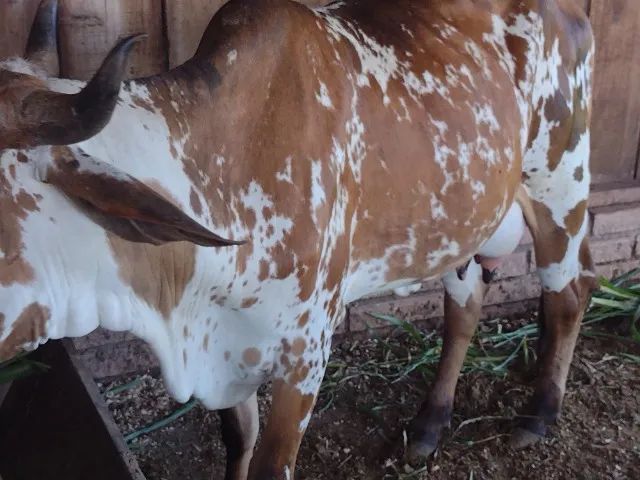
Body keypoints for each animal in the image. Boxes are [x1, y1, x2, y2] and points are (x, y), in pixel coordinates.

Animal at [0, 0, 596, 478]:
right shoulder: (227, 350)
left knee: (569, 294)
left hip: (560, 187)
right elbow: (237, 441)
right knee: (466, 306)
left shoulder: (304, 356)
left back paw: (539, 415)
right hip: (459, 227)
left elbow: (271, 462)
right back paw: (430, 424)